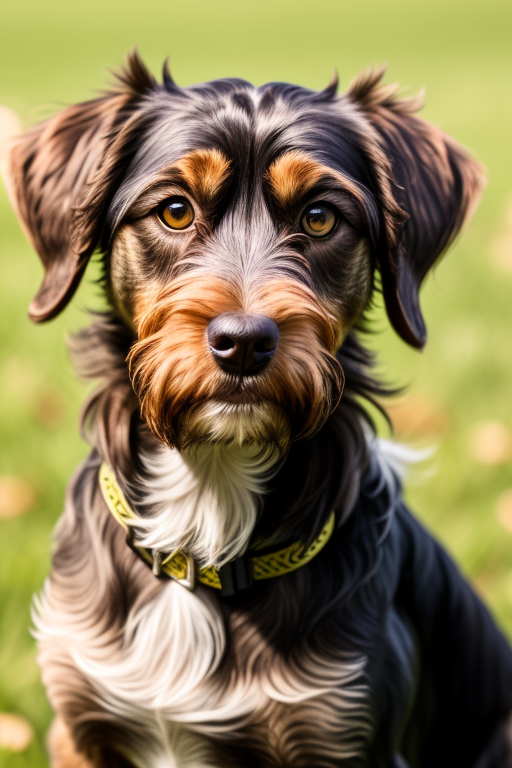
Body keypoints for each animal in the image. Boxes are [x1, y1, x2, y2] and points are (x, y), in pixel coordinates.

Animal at [4, 51, 512, 764]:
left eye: (320, 217)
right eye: (175, 211)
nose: (243, 343)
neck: (210, 501)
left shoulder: (346, 730)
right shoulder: (80, 726)